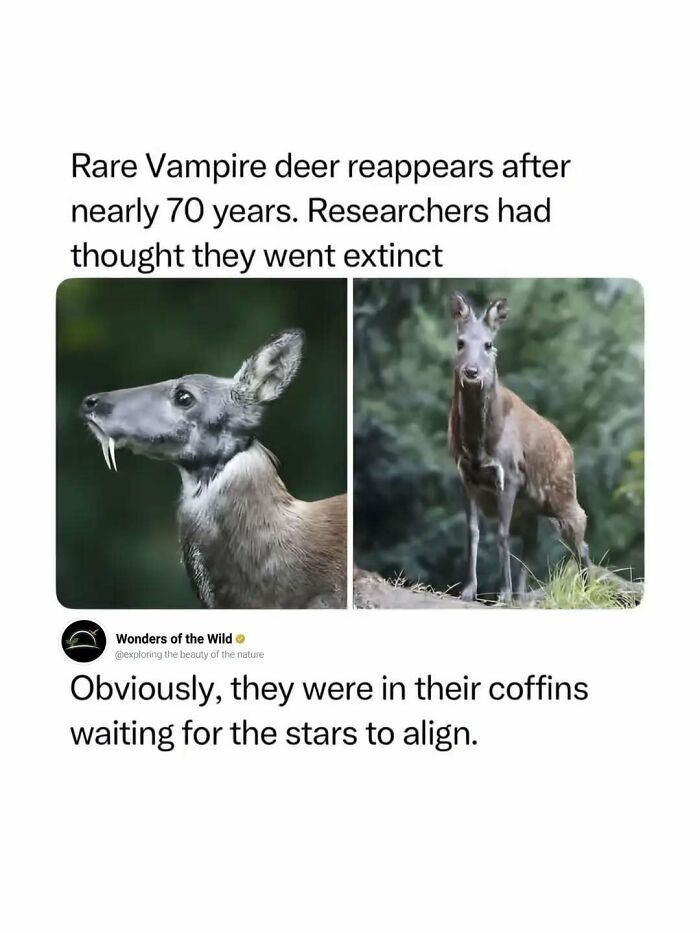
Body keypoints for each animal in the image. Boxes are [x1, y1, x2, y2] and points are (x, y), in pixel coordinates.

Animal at [447, 293, 590, 603]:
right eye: (460, 342)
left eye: (488, 344)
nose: (471, 371)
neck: (480, 445)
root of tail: (569, 448)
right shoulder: (466, 476)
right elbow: (472, 532)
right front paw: (468, 590)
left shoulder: (510, 475)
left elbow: (502, 535)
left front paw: (501, 592)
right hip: (530, 508)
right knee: (530, 544)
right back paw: (521, 595)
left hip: (562, 492)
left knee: (579, 536)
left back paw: (584, 592)